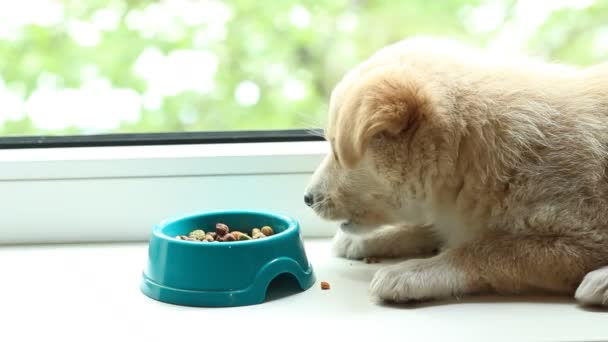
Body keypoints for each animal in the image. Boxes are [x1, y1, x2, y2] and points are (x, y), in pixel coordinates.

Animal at [306, 38, 608, 308]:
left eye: (337, 151)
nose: (307, 199)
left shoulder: (586, 239)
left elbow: (491, 250)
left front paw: (412, 272)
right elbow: (434, 227)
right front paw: (371, 239)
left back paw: (599, 283)